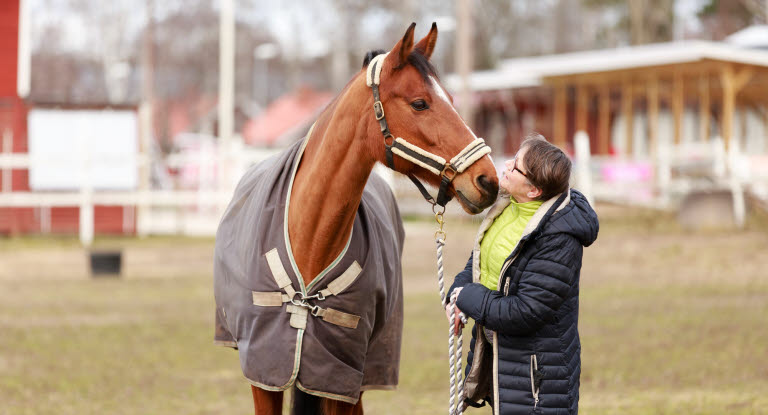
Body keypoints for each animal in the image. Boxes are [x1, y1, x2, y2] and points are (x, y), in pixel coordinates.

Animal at [216, 23, 500, 415]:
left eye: (453, 102)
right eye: (420, 103)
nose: (487, 181)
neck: (311, 239)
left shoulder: (340, 378)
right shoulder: (264, 371)